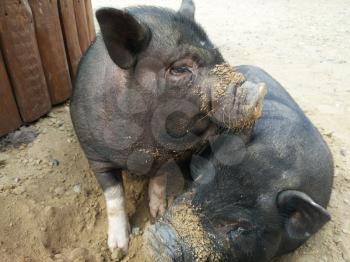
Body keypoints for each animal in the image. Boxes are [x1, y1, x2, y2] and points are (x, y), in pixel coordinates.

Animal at [70, 0, 266, 254]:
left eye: (218, 54)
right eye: (180, 69)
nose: (256, 92)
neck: (140, 150)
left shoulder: (165, 156)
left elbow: (159, 181)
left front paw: (157, 213)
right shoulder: (95, 156)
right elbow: (114, 196)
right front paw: (117, 249)